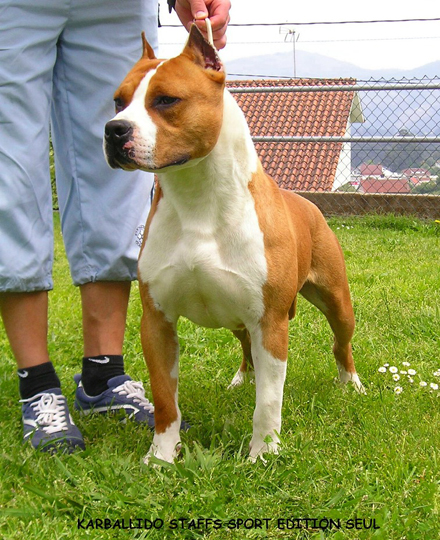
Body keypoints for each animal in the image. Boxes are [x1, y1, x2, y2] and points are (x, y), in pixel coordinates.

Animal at [104, 25, 364, 464]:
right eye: (118, 101)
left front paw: (264, 454)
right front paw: (161, 455)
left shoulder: (271, 322)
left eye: (166, 100)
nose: (113, 129)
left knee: (340, 344)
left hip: (336, 300)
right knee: (246, 350)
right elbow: (165, 397)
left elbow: (269, 403)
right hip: (240, 318)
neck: (197, 199)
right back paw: (243, 379)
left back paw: (351, 385)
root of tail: (309, 203)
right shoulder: (157, 322)